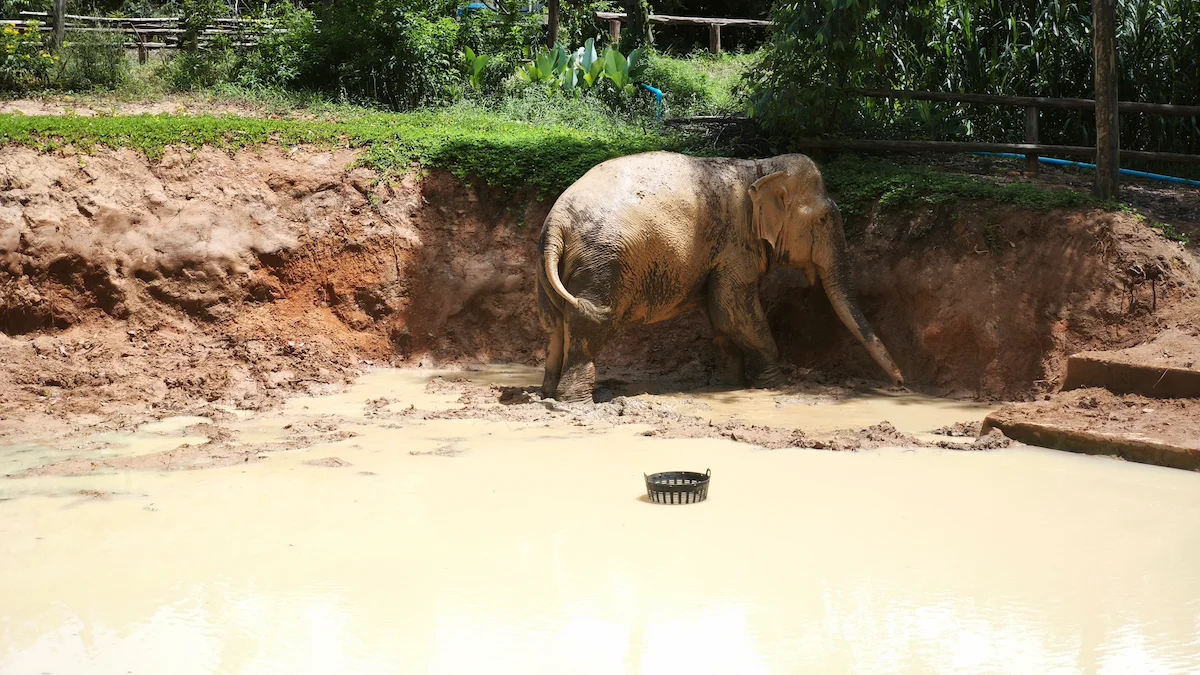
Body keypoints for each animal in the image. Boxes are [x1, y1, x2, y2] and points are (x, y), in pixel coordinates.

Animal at [536, 151, 904, 403]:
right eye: (824, 220)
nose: (901, 384)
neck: (761, 168)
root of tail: (557, 220)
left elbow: (721, 315)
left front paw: (728, 385)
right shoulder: (736, 243)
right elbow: (733, 307)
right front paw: (774, 384)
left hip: (551, 266)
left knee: (554, 323)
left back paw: (548, 394)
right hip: (604, 263)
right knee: (591, 321)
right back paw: (576, 402)